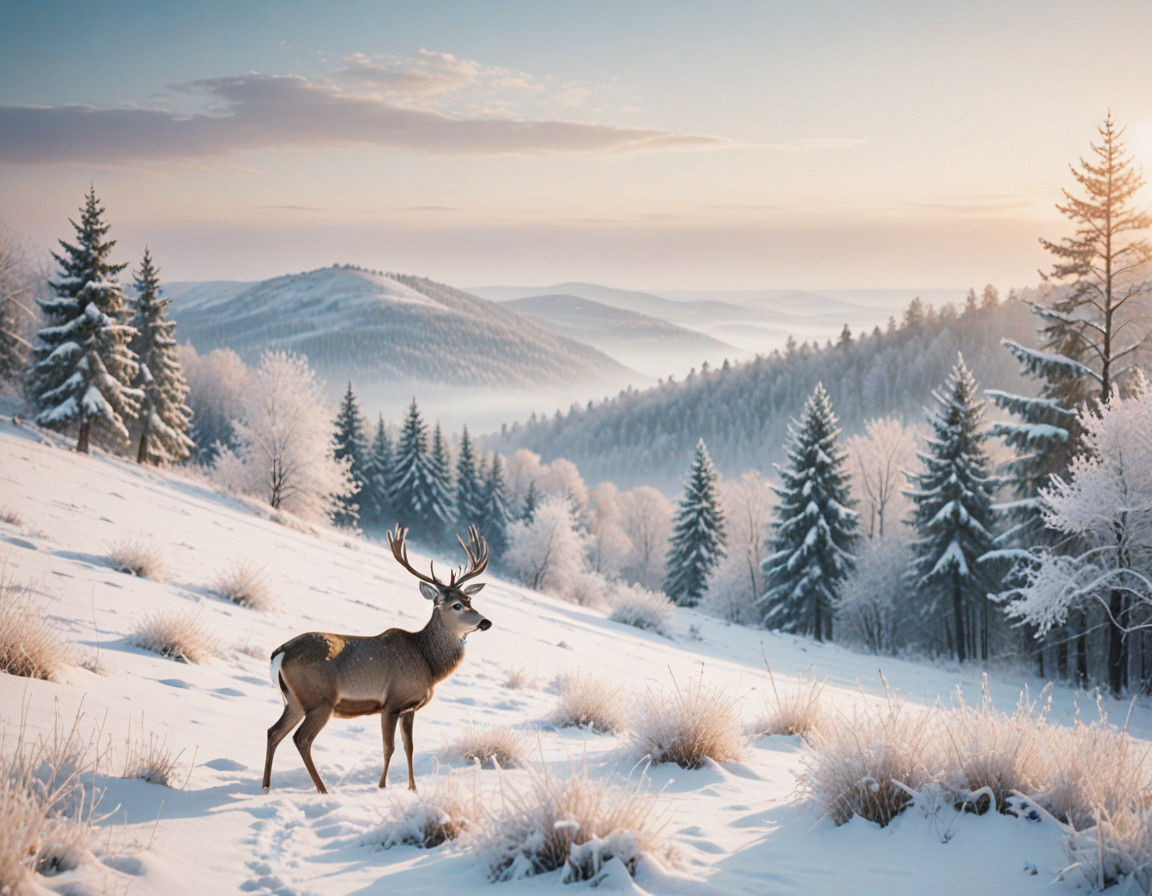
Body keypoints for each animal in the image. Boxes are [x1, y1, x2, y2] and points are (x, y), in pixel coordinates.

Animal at [262, 524, 492, 794]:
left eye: (470, 600)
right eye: (456, 605)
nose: (486, 622)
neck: (428, 663)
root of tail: (280, 653)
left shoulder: (409, 708)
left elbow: (408, 747)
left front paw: (413, 788)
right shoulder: (393, 702)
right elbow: (388, 747)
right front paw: (382, 786)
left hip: (295, 700)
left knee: (273, 732)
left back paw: (266, 786)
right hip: (320, 699)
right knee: (301, 738)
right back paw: (322, 789)